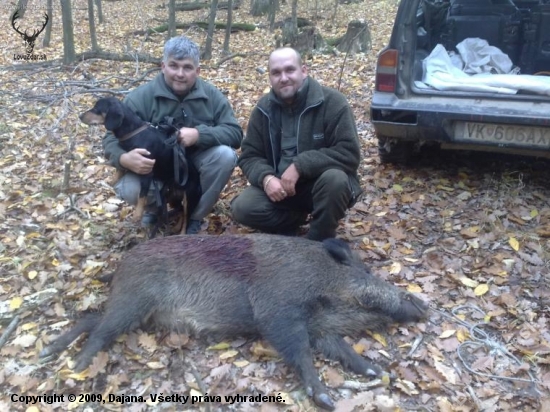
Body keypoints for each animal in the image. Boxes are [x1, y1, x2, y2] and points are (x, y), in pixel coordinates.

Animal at [40, 234, 427, 410]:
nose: (422, 304)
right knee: (99, 328)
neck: (323, 287)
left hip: (141, 315)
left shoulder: (321, 330)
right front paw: (325, 399)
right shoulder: (277, 310)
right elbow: (300, 352)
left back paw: (50, 352)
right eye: (366, 272)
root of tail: (121, 265)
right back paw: (78, 367)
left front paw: (378, 372)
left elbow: (344, 351)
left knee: (91, 319)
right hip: (133, 300)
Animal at [80, 97, 201, 233]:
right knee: (180, 211)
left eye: (97, 108)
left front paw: (137, 215)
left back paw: (182, 232)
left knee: (186, 217)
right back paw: (175, 227)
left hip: (189, 198)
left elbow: (142, 195)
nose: (80, 116)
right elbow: (120, 169)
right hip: (171, 197)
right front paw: (112, 181)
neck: (134, 133)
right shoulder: (131, 157)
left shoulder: (147, 171)